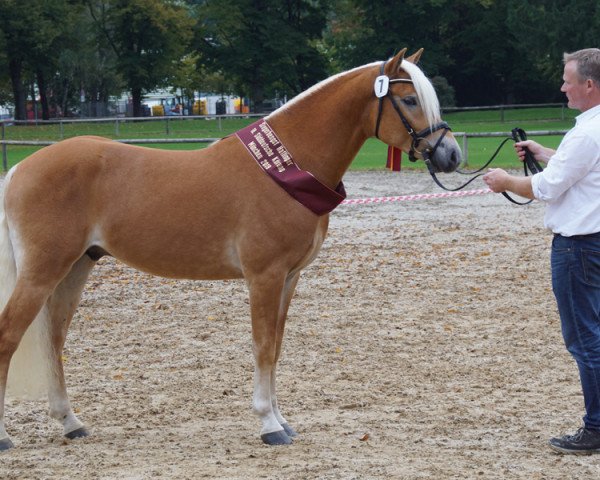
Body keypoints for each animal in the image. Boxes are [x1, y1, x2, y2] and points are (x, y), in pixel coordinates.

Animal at [0, 47, 464, 448]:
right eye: (409, 99)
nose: (451, 155)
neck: (284, 170)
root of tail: (19, 169)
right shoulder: (264, 277)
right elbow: (261, 346)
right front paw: (268, 425)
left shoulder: (289, 279)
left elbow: (275, 347)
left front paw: (282, 420)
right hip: (43, 272)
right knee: (9, 336)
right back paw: (7, 437)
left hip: (76, 268)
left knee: (53, 341)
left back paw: (71, 423)